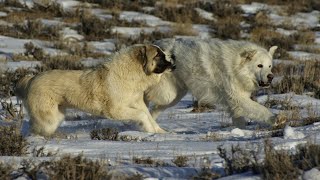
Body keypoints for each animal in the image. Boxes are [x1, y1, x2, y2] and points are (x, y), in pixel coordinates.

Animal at [15, 44, 175, 136]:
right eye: (158, 55)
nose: (172, 63)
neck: (132, 73)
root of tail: (31, 79)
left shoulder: (137, 102)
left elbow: (148, 115)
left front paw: (160, 132)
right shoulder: (115, 110)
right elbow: (142, 115)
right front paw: (150, 131)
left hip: (56, 116)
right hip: (49, 119)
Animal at [145, 38, 278, 127]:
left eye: (270, 66)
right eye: (259, 65)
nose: (271, 77)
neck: (236, 66)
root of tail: (157, 44)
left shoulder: (234, 102)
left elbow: (239, 119)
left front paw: (239, 132)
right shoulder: (238, 98)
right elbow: (261, 109)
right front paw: (276, 119)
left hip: (173, 96)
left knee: (154, 109)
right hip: (167, 94)